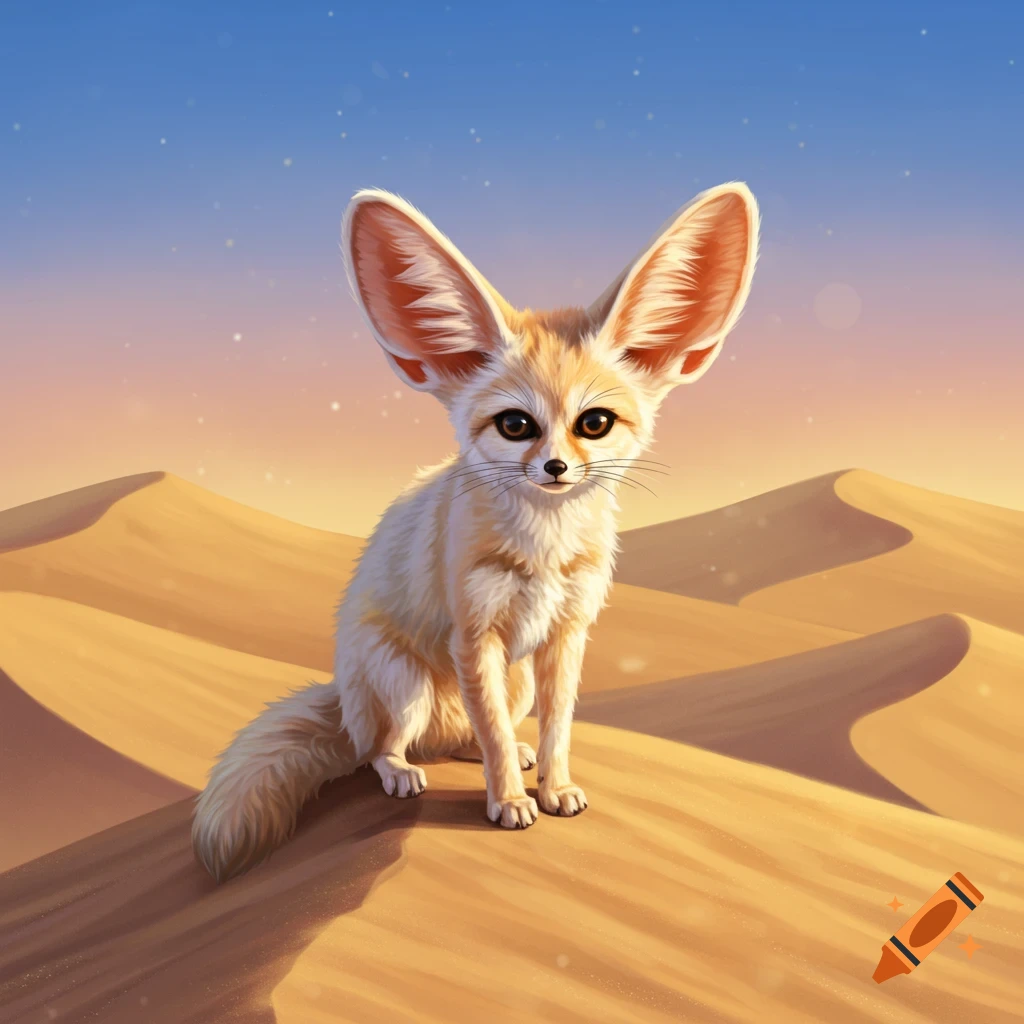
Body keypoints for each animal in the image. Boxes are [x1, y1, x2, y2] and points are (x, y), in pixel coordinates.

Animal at [191, 181, 759, 882]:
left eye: (594, 423)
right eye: (516, 425)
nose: (555, 468)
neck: (544, 548)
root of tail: (341, 694)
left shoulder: (566, 634)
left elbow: (556, 728)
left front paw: (553, 787)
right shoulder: (474, 635)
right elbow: (488, 731)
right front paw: (510, 804)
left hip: (513, 682)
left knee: (468, 735)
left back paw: (500, 754)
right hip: (406, 684)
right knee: (383, 746)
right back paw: (403, 771)